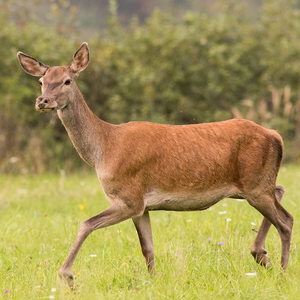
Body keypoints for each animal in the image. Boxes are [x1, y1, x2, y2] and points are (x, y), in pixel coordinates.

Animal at [17, 43, 292, 288]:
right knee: (280, 192)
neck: (103, 149)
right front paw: (154, 281)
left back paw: (281, 271)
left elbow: (86, 224)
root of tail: (276, 136)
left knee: (286, 220)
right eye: (41, 81)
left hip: (255, 184)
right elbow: (147, 248)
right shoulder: (142, 206)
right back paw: (262, 256)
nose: (43, 101)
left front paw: (67, 276)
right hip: (251, 186)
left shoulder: (129, 197)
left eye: (67, 81)